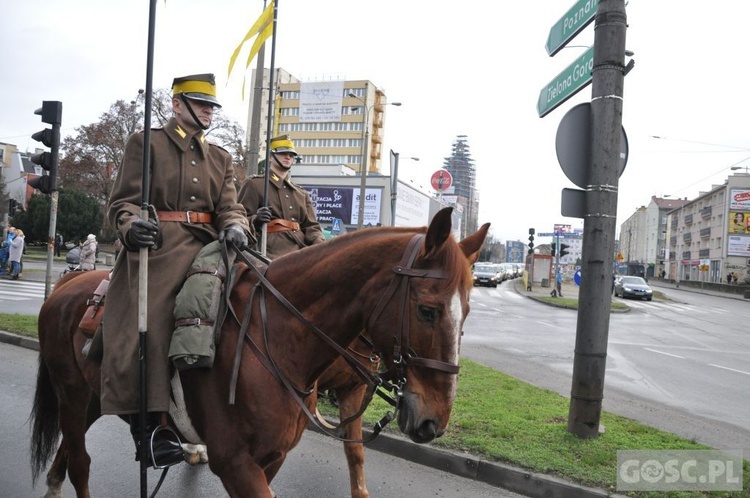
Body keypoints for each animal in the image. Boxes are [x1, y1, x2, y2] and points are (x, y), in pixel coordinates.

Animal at [30, 209, 488, 498]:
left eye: (467, 310)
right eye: (427, 310)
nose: (432, 421)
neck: (277, 339)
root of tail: (65, 287)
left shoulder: (274, 456)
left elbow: (355, 451)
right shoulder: (236, 463)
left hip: (94, 397)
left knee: (70, 451)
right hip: (73, 396)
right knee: (81, 462)